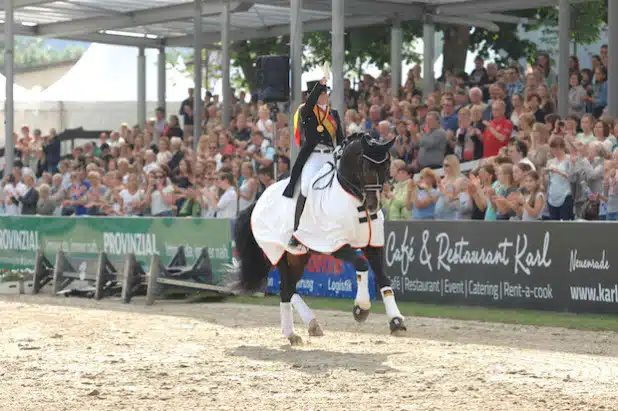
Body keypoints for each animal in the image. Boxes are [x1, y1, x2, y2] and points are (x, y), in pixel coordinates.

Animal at [232, 134, 404, 346]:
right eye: (366, 167)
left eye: (387, 166)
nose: (373, 206)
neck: (351, 198)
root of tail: (257, 201)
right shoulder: (335, 244)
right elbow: (362, 265)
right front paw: (361, 308)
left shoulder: (372, 245)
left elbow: (383, 278)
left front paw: (396, 321)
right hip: (279, 254)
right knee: (285, 288)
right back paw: (292, 333)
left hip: (298, 258)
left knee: (290, 287)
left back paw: (310, 325)